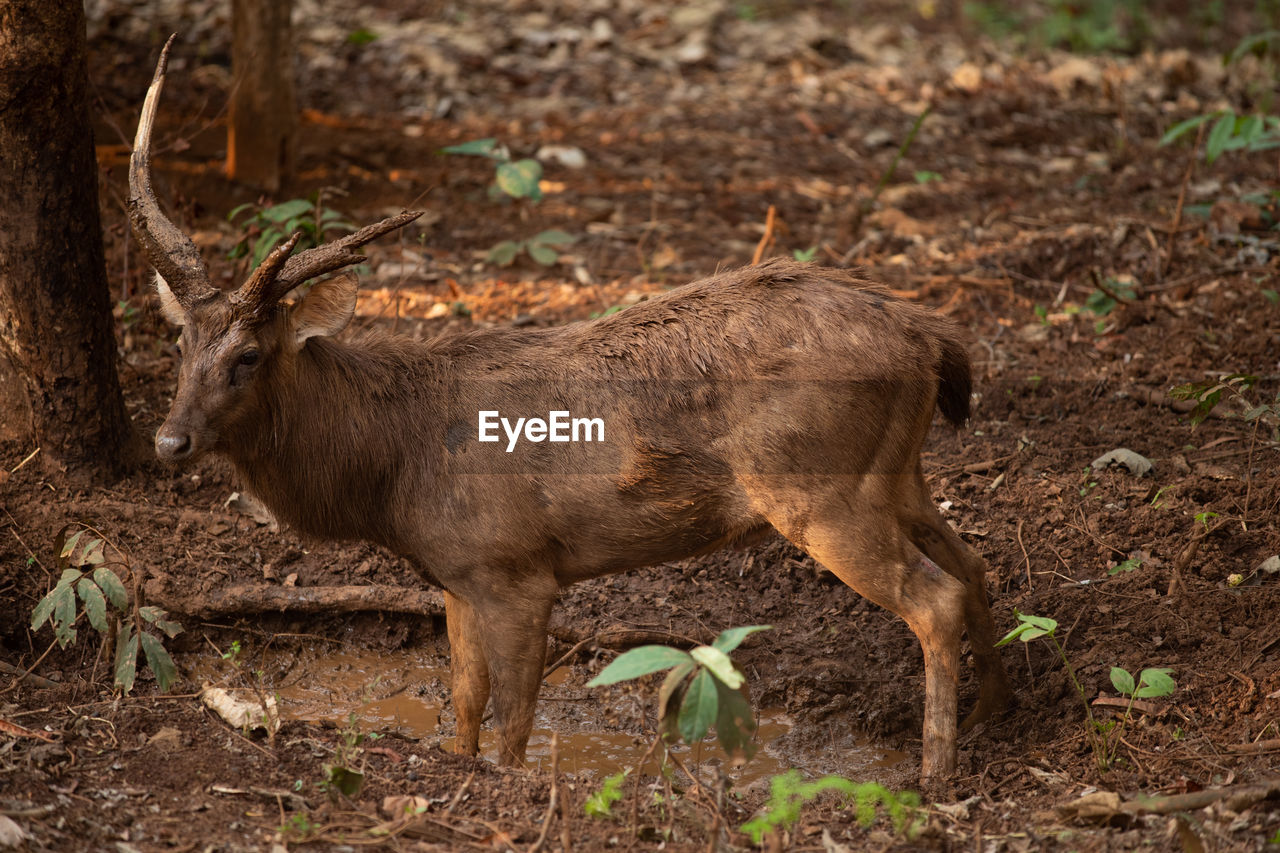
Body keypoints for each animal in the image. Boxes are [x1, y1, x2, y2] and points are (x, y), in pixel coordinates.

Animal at [129, 39, 1008, 783]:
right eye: (180, 341)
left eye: (249, 356)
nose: (169, 440)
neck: (392, 471)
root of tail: (928, 334)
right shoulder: (458, 573)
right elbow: (464, 700)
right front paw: (457, 761)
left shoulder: (518, 567)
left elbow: (517, 717)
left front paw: (510, 784)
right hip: (895, 472)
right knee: (974, 568)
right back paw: (993, 720)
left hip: (818, 485)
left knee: (935, 597)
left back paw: (934, 771)